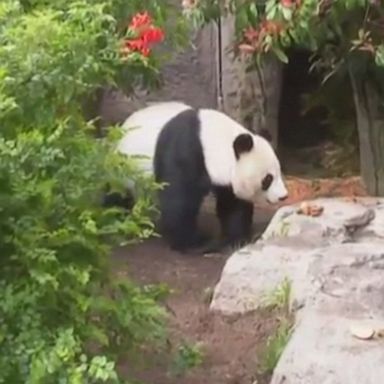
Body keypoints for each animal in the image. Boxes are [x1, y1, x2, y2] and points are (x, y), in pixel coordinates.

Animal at [105, 101, 288, 252]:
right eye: (268, 179)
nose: (283, 196)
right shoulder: (184, 152)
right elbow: (179, 200)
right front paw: (197, 243)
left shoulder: (224, 178)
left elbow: (232, 204)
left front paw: (236, 239)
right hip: (122, 168)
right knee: (115, 193)